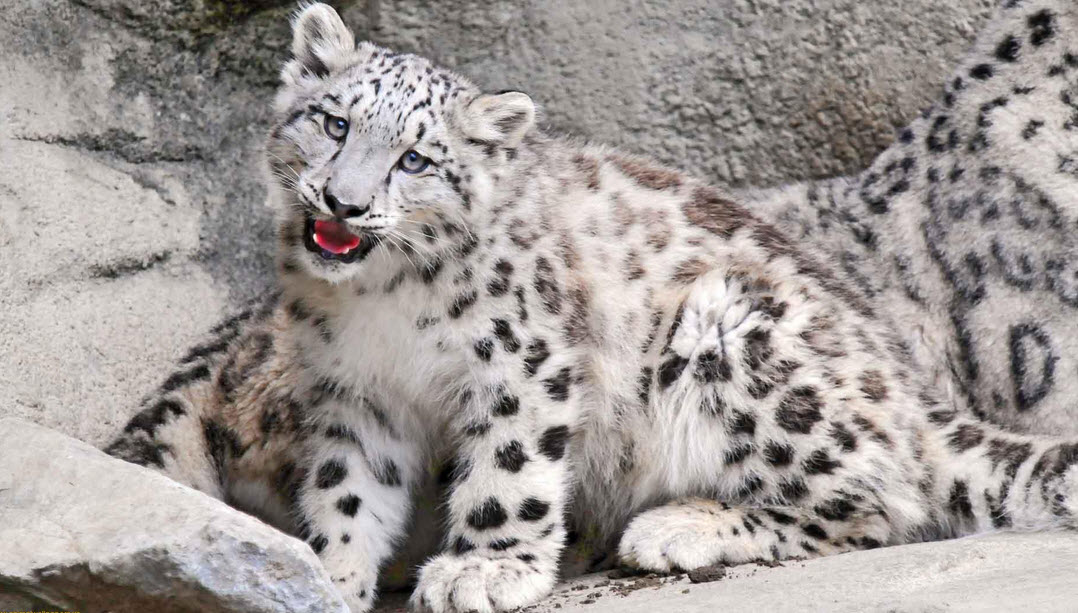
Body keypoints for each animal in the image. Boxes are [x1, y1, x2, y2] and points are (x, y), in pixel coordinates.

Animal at [104, 3, 1078, 612]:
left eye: (416, 160)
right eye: (334, 123)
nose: (343, 203)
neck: (382, 305)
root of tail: (912, 393)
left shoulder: (520, 357)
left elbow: (508, 469)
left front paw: (484, 570)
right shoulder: (354, 394)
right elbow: (349, 488)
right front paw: (331, 573)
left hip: (733, 333)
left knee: (880, 501)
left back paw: (676, 527)